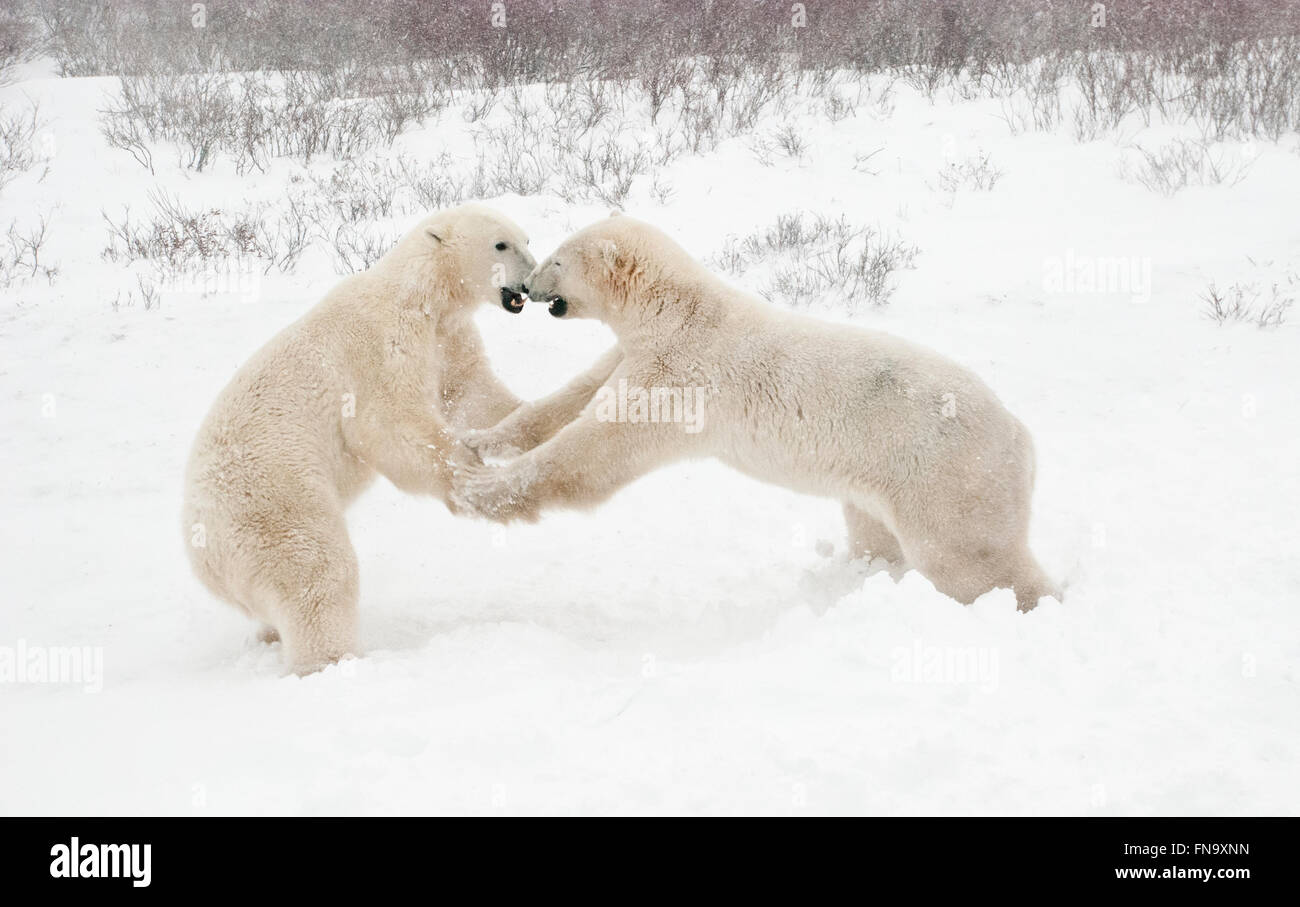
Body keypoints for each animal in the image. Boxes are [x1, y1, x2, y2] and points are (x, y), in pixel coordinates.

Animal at [184, 206, 624, 670]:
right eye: (500, 244)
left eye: (527, 239)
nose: (527, 281)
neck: (421, 295)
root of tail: (201, 550)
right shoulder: (378, 344)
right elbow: (390, 421)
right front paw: (471, 479)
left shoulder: (448, 337)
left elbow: (471, 392)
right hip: (272, 502)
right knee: (315, 572)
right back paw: (332, 661)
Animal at [454, 213, 1055, 608]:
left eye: (557, 258)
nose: (529, 286)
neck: (672, 310)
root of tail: (1021, 435)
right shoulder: (634, 353)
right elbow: (573, 396)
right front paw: (478, 441)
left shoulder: (681, 376)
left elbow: (597, 448)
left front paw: (479, 490)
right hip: (884, 481)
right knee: (876, 533)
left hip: (946, 475)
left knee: (969, 557)